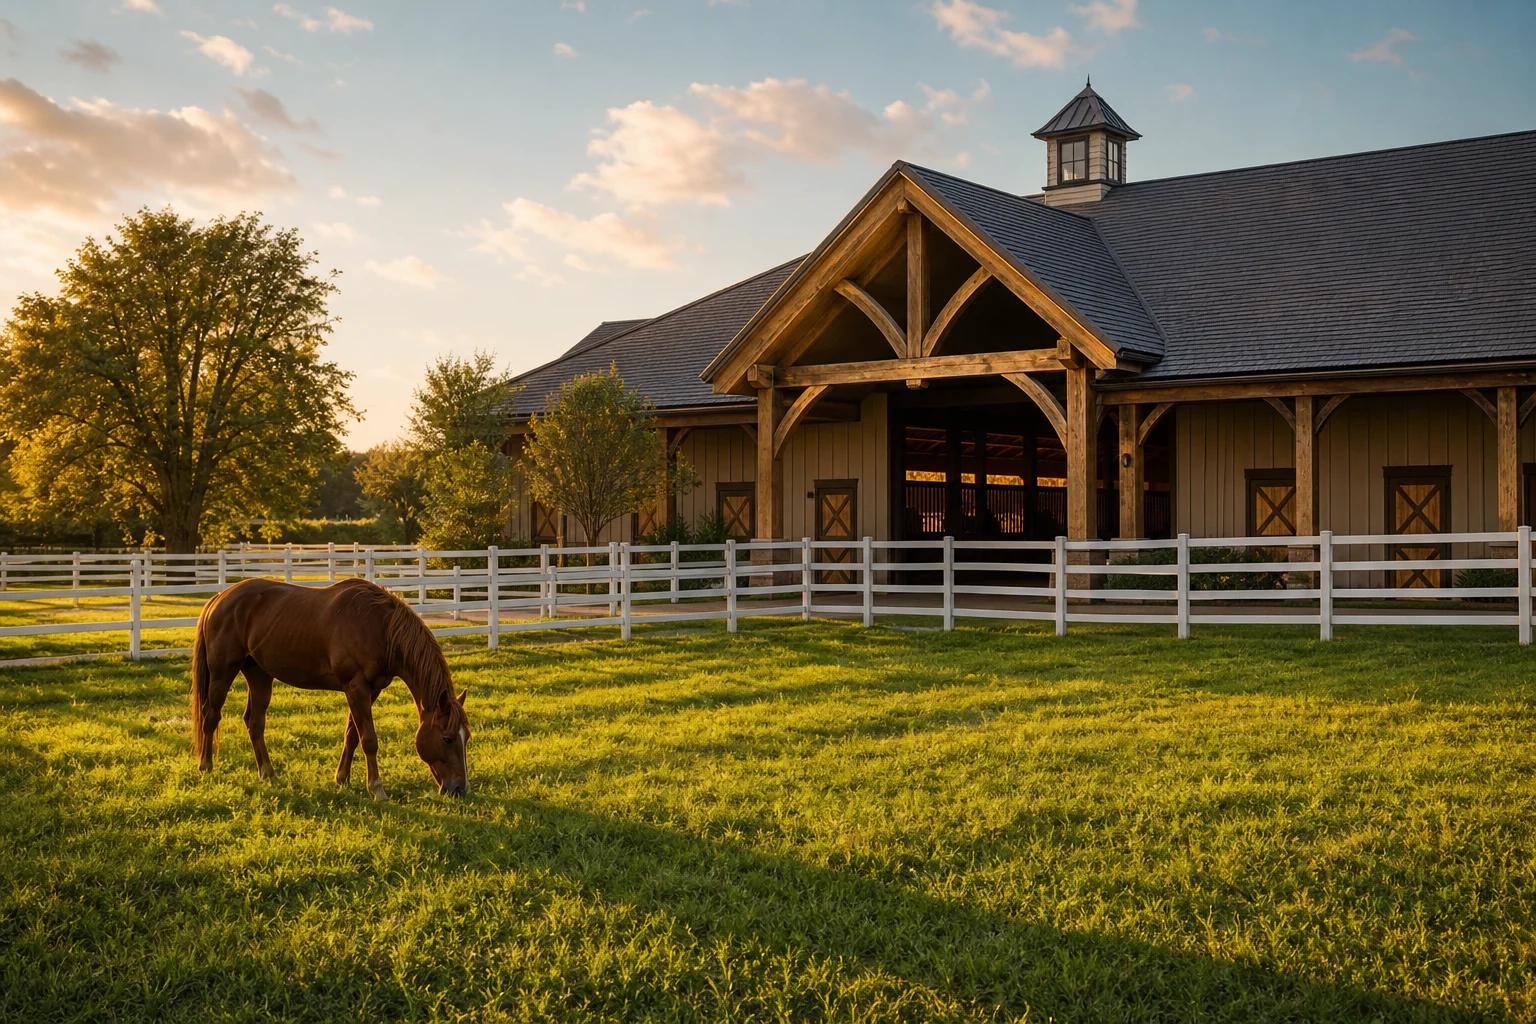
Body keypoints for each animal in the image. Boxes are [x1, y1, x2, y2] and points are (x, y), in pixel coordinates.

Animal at [191, 577, 470, 799]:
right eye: (446, 738)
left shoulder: (370, 691)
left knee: (254, 722)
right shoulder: (356, 687)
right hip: (222, 672)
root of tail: (219, 599)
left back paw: (268, 773)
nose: (459, 789)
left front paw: (342, 779)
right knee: (211, 715)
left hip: (259, 675)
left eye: (466, 737)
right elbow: (369, 739)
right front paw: (376, 789)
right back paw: (205, 767)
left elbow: (352, 735)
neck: (379, 627)